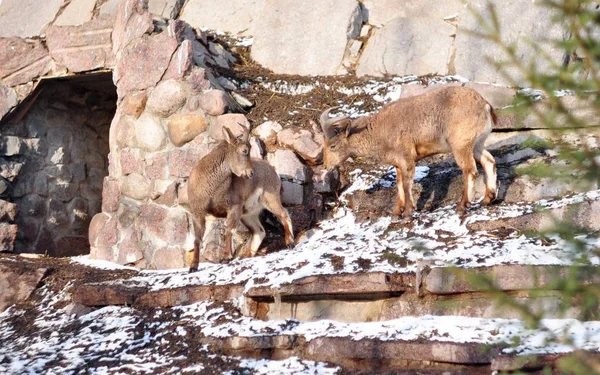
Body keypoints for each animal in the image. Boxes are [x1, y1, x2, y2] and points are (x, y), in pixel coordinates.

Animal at [186, 126, 292, 274]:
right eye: (244, 150)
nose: (250, 173)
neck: (212, 189)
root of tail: (273, 170)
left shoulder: (234, 208)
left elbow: (229, 230)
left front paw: (225, 257)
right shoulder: (197, 213)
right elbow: (197, 239)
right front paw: (193, 267)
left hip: (270, 199)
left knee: (284, 214)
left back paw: (290, 242)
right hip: (248, 214)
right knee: (259, 231)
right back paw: (246, 256)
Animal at [322, 86, 500, 219]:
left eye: (332, 146)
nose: (326, 166)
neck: (379, 131)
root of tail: (484, 105)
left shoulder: (406, 158)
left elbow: (407, 183)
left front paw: (408, 213)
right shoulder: (398, 163)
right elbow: (399, 184)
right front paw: (396, 212)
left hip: (461, 145)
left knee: (470, 170)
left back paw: (462, 206)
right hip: (477, 144)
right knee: (489, 161)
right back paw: (487, 199)